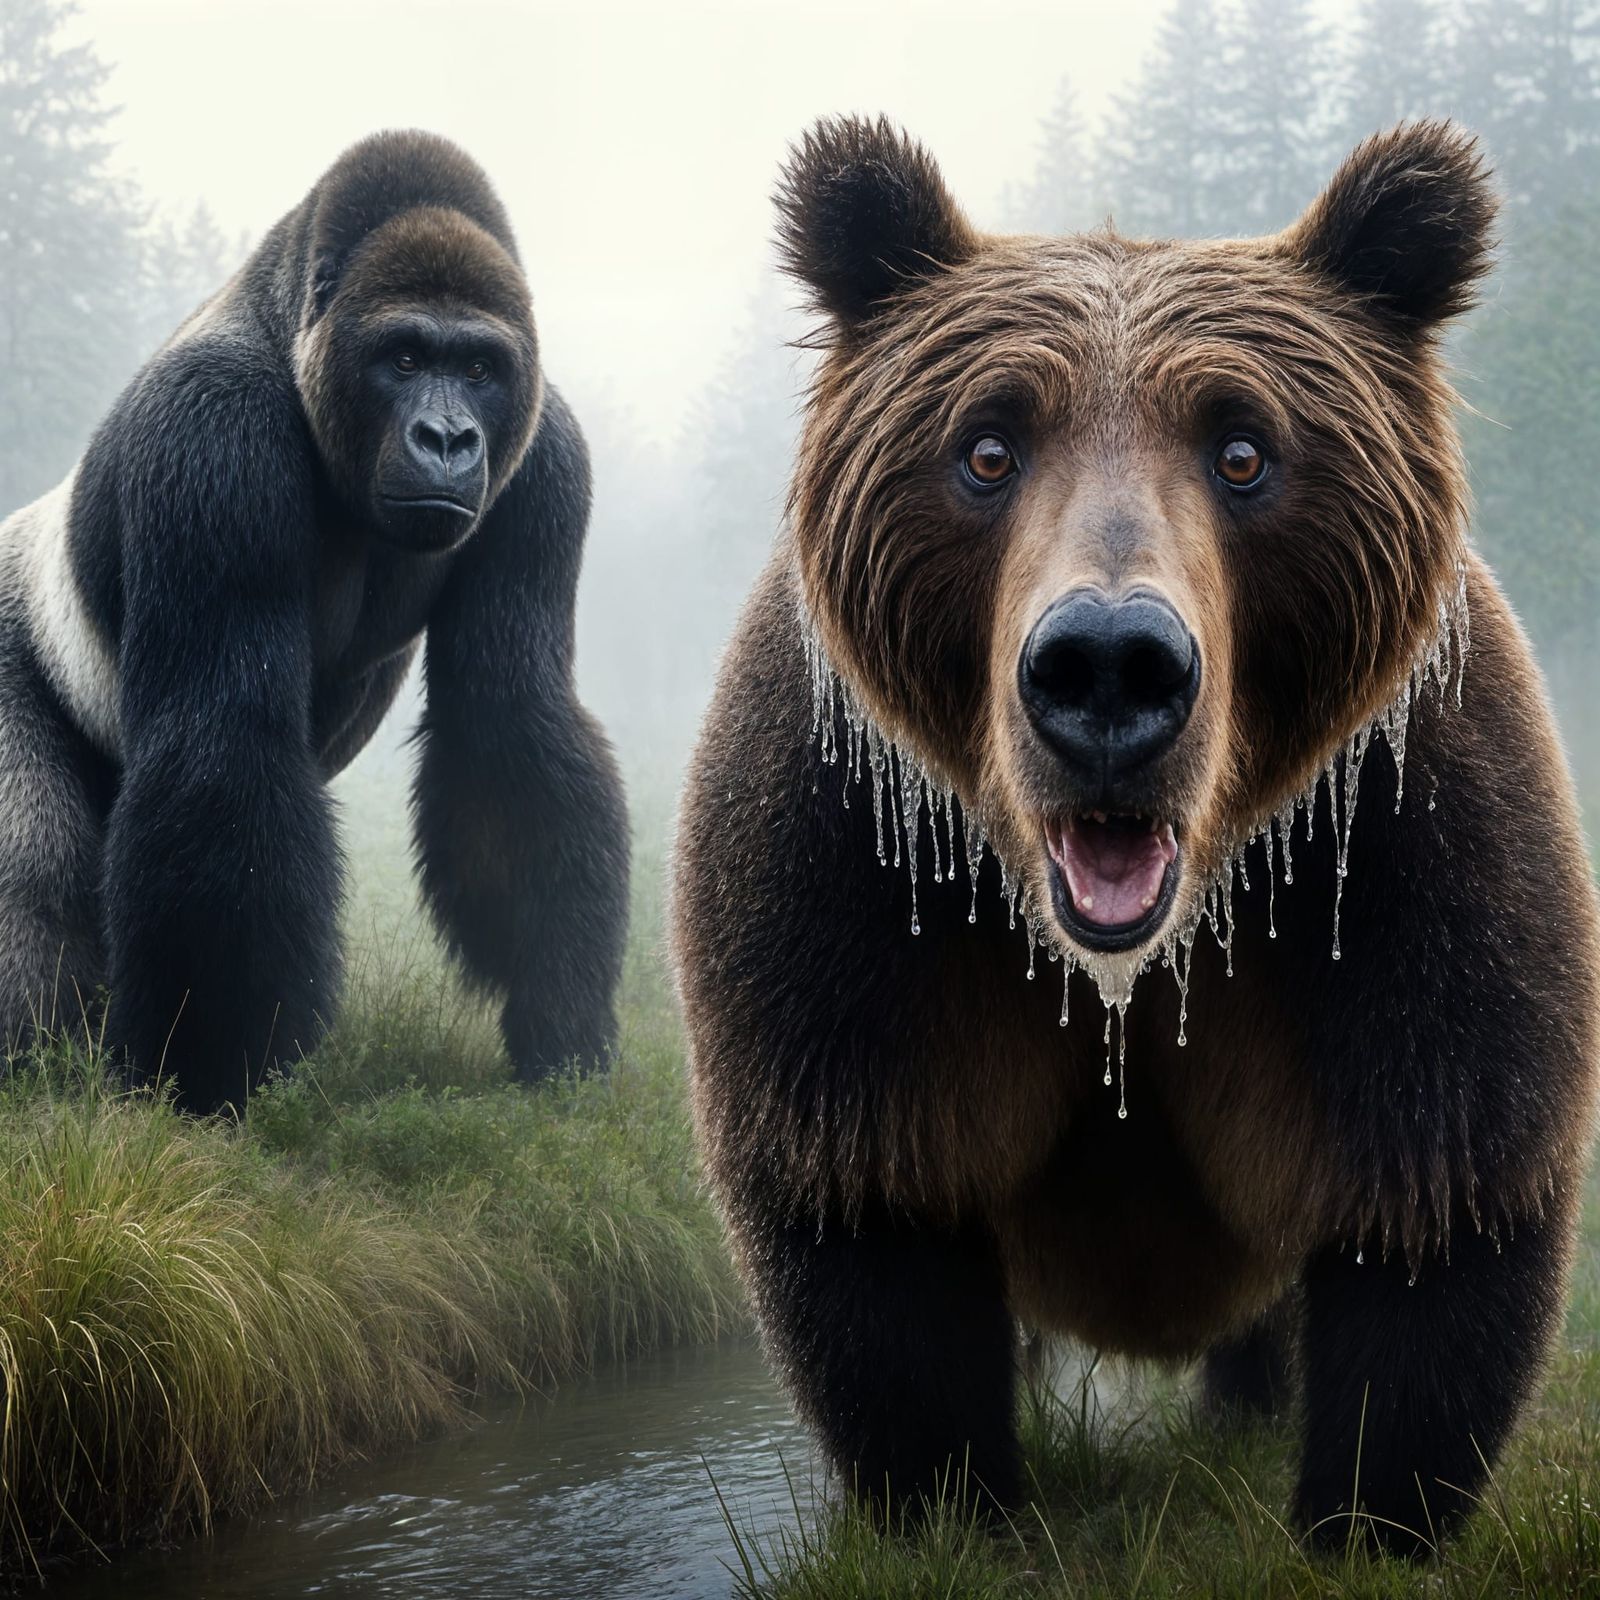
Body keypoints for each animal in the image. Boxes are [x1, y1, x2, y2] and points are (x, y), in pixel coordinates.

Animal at [671, 116, 1600, 1554]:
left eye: (1245, 450)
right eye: (986, 448)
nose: (1108, 667)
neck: (1124, 966)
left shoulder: (1398, 839)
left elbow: (1438, 1184)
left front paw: (1365, 1520)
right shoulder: (853, 857)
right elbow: (866, 1190)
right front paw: (958, 1512)